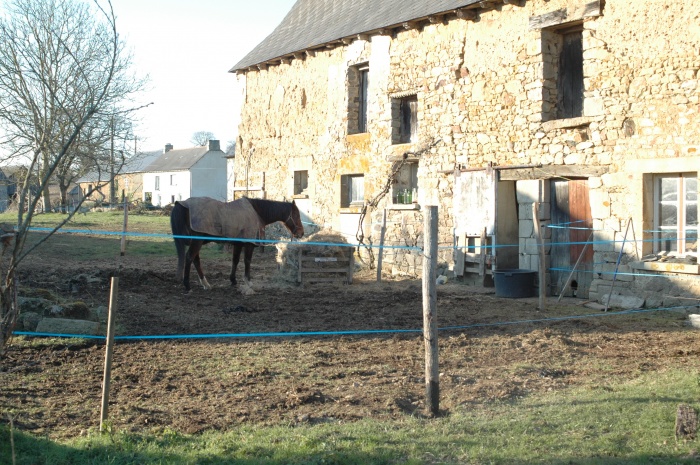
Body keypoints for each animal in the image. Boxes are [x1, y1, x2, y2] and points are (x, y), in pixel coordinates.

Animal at [170, 198, 304, 292]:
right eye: (296, 215)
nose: (301, 233)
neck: (256, 212)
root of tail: (183, 204)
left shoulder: (238, 243)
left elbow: (235, 260)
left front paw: (233, 280)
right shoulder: (248, 244)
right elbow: (247, 261)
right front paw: (248, 281)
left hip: (196, 241)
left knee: (195, 260)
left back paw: (205, 284)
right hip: (197, 241)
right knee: (190, 258)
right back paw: (187, 284)